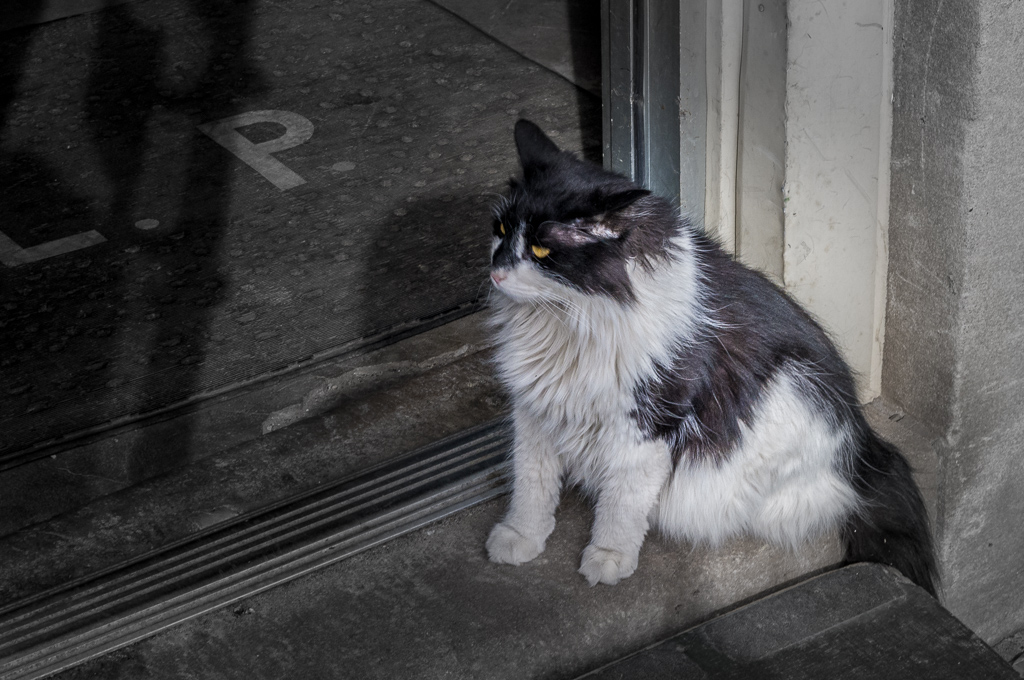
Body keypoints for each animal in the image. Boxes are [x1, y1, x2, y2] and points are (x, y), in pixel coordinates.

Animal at [483, 119, 937, 593]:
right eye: (501, 230)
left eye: (541, 251)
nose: (496, 272)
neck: (568, 323)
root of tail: (868, 445)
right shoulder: (534, 410)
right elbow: (531, 487)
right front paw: (519, 539)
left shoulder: (646, 425)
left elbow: (621, 506)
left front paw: (608, 559)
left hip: (786, 399)